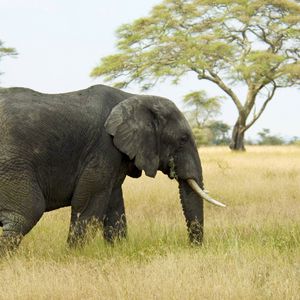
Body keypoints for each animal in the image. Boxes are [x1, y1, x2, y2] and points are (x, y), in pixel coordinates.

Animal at [0, 84, 225, 253]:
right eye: (183, 139)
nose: (193, 248)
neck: (134, 97)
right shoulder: (103, 147)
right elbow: (88, 201)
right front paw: (73, 255)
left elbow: (114, 204)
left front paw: (118, 250)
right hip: (12, 162)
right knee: (25, 213)